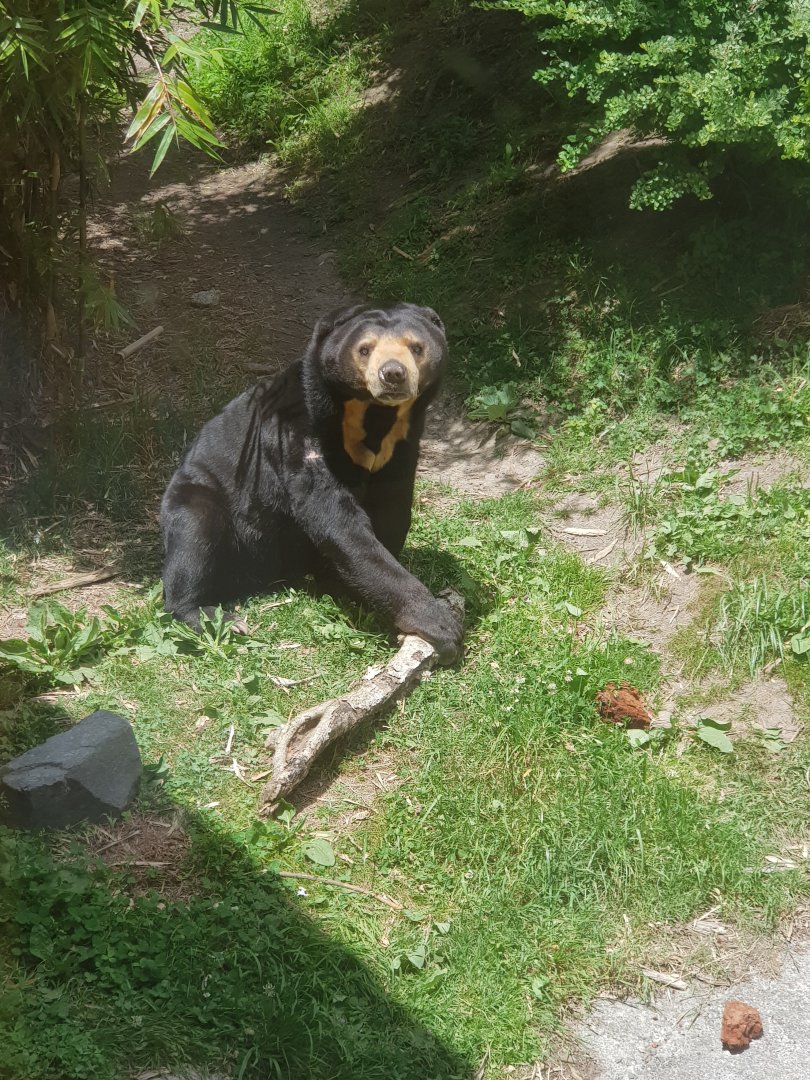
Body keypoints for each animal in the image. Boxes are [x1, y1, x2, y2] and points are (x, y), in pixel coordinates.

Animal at [160, 302, 463, 663]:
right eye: (365, 349)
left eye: (416, 347)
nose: (393, 374)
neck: (374, 417)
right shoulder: (297, 430)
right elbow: (338, 523)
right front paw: (440, 625)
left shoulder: (404, 443)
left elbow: (392, 508)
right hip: (200, 497)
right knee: (194, 539)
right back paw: (217, 618)